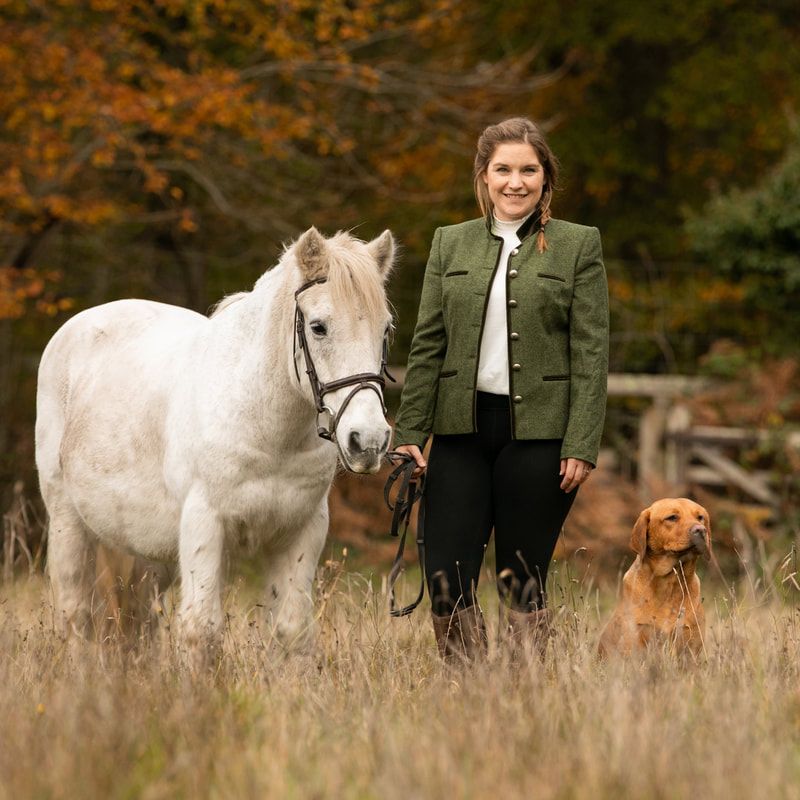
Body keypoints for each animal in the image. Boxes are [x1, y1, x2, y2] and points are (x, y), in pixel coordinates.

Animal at [35, 227, 395, 659]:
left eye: (385, 329)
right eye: (318, 327)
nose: (368, 441)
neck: (267, 430)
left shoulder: (301, 531)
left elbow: (293, 632)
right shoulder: (204, 524)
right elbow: (200, 631)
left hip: (145, 550)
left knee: (137, 621)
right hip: (68, 521)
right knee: (75, 614)